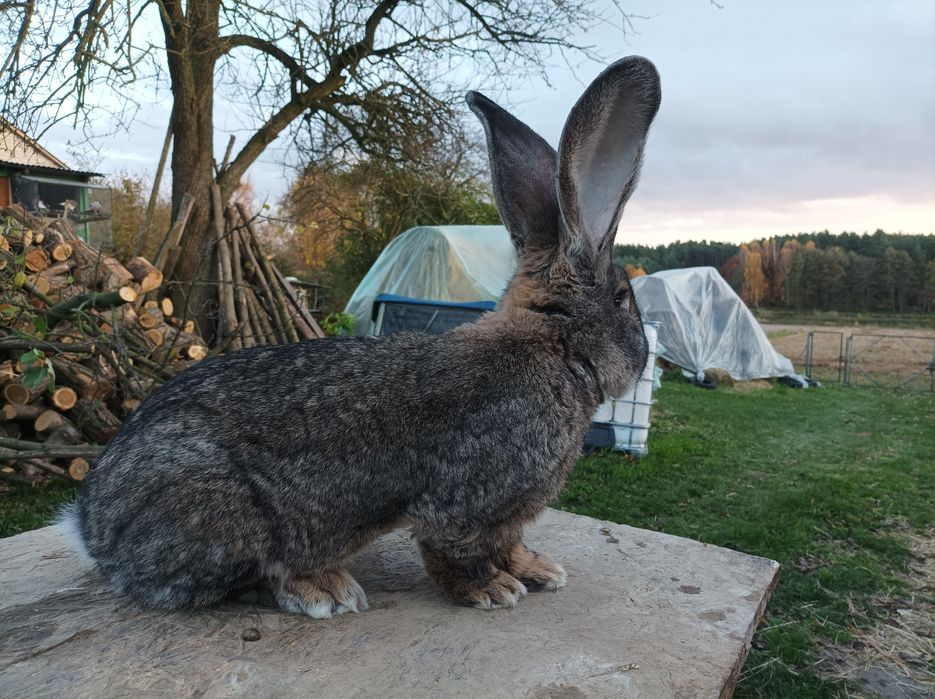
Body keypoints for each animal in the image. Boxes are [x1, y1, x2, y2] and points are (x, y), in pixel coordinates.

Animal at [66, 57, 660, 620]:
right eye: (621, 300)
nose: (642, 358)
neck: (556, 346)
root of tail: (93, 530)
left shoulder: (506, 517)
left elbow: (510, 544)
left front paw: (537, 570)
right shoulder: (466, 502)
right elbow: (455, 550)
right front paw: (493, 591)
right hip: (224, 517)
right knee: (245, 578)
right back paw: (324, 590)